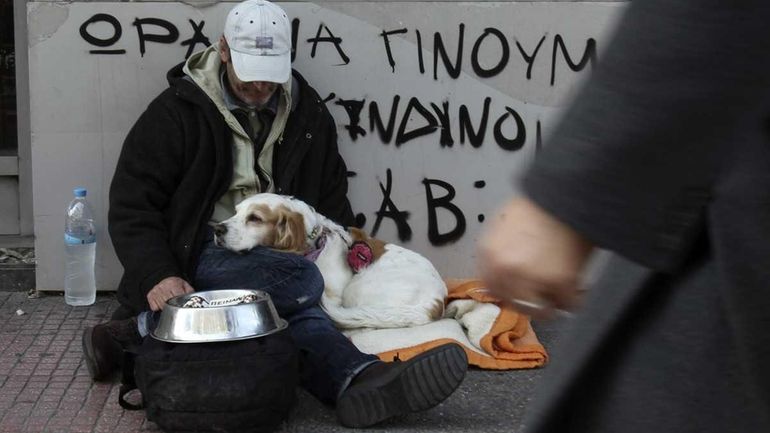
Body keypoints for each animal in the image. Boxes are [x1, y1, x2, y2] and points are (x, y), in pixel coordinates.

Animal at [213, 192, 448, 328]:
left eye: (255, 218)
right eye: (236, 212)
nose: (216, 229)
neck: (316, 245)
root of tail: (436, 303)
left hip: (355, 288)